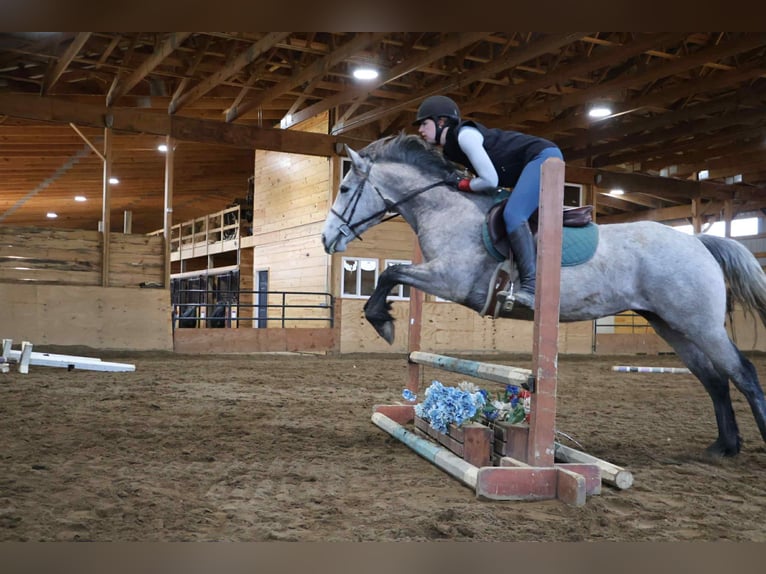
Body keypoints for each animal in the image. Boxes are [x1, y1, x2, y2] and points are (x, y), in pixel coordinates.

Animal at [321, 132, 766, 458]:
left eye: (344, 187)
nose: (326, 240)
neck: (445, 209)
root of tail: (698, 241)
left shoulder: (452, 281)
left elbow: (390, 273)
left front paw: (382, 321)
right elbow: (392, 275)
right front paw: (383, 321)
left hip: (699, 324)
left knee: (742, 372)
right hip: (670, 324)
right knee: (714, 378)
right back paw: (723, 446)